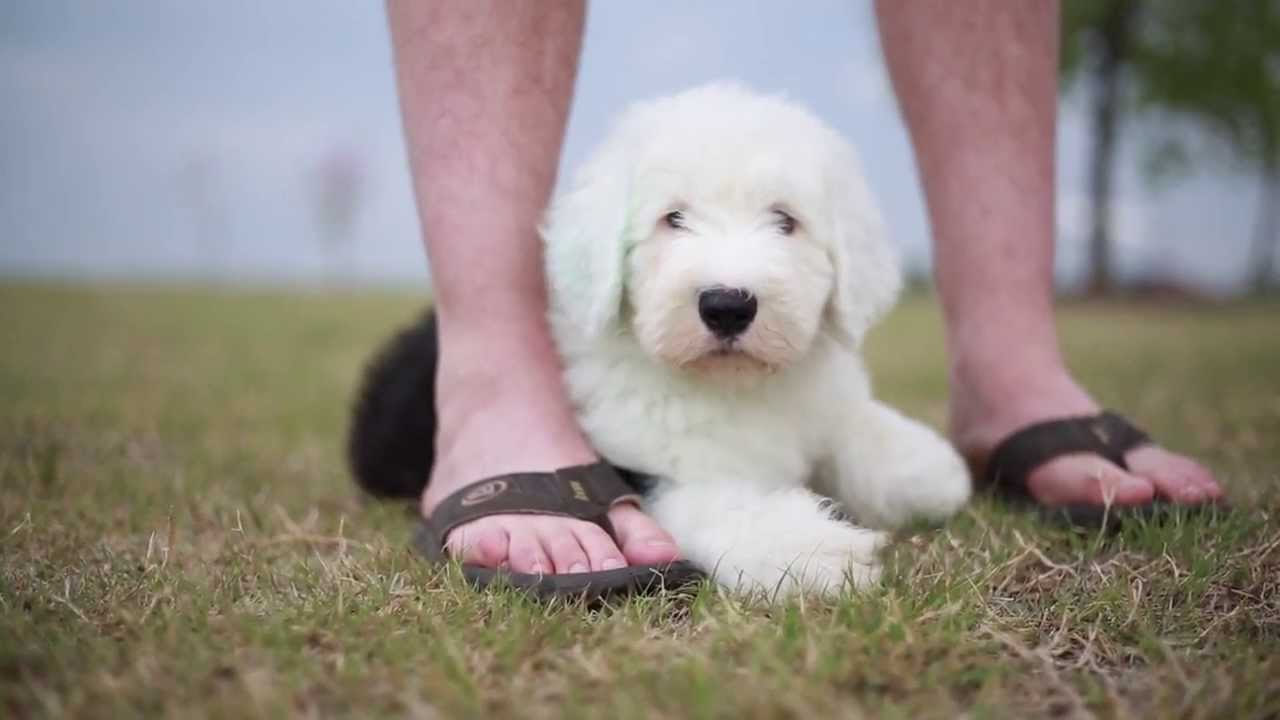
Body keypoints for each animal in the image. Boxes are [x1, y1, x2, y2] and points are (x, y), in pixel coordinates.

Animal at [540, 83, 967, 594]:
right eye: (673, 218)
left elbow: (851, 429)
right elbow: (718, 506)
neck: (738, 387)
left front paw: (927, 468)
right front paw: (820, 552)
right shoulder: (653, 466)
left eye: (784, 220)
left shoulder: (820, 407)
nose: (727, 306)